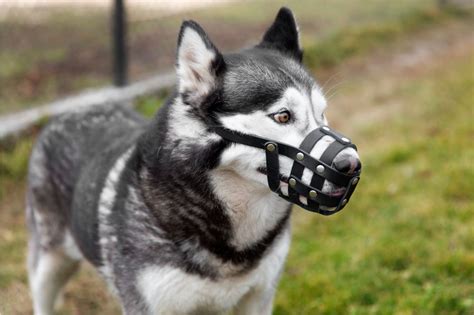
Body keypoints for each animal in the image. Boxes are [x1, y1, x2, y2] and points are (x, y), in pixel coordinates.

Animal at [25, 7, 360, 315]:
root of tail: (76, 107)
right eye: (282, 116)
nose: (352, 165)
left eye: (322, 114)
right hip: (48, 266)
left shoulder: (258, 298)